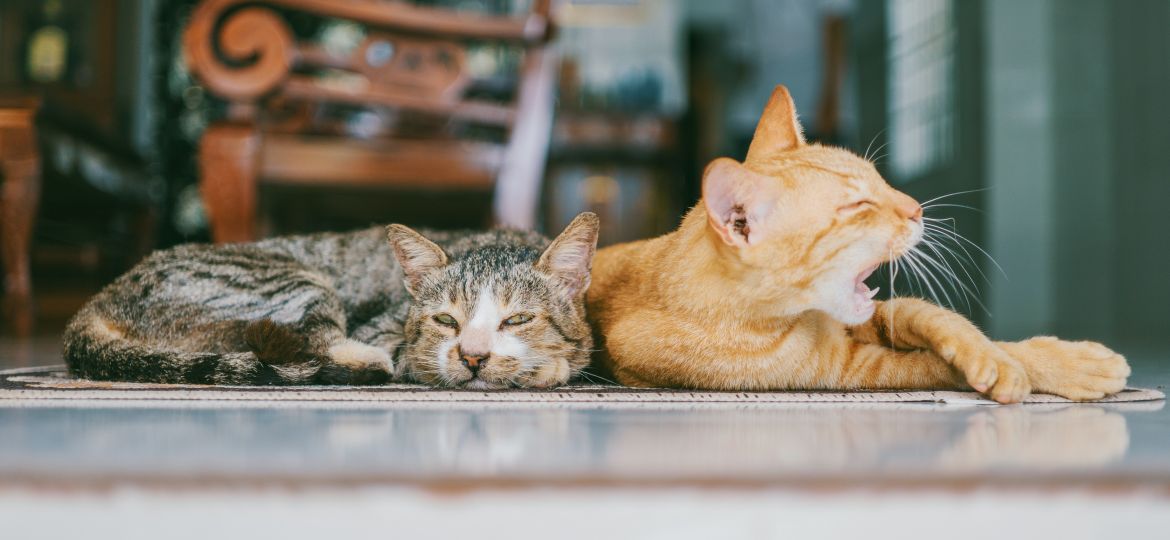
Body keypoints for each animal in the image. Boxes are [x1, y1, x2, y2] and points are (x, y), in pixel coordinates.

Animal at [64, 211, 599, 388]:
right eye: (446, 320)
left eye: (519, 319)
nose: (472, 355)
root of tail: (100, 299)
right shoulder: (392, 334)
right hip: (298, 281)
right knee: (322, 345)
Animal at [589, 86, 1127, 402]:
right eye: (858, 206)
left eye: (880, 181)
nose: (916, 207)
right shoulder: (848, 370)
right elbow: (935, 367)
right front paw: (1033, 369)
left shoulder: (878, 317)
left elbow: (936, 318)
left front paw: (1012, 356)